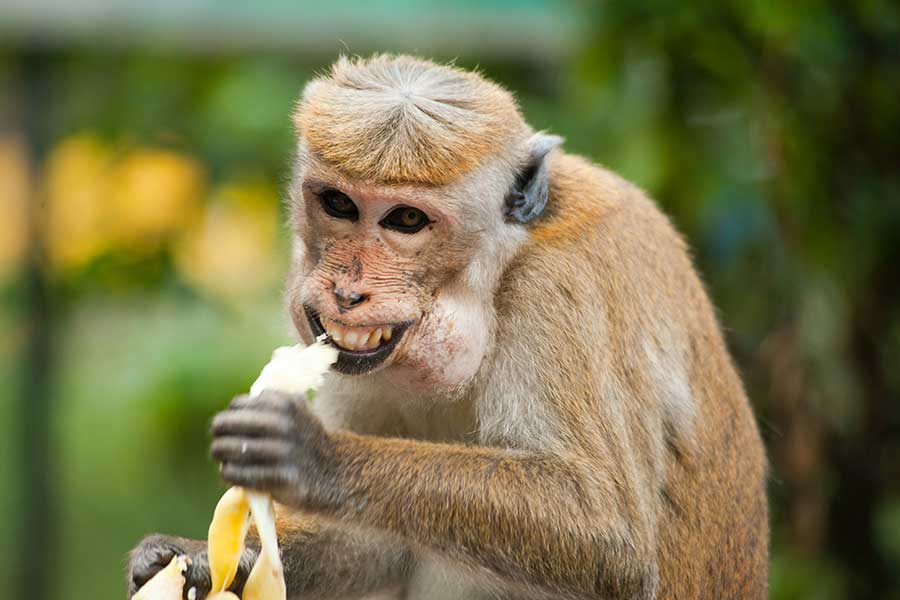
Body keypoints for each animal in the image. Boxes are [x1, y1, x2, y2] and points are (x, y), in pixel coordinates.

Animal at [130, 54, 768, 596]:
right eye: (338, 204)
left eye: (406, 220)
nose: (347, 292)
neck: (499, 270)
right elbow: (373, 542)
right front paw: (194, 558)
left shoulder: (557, 293)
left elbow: (608, 535)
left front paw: (314, 456)